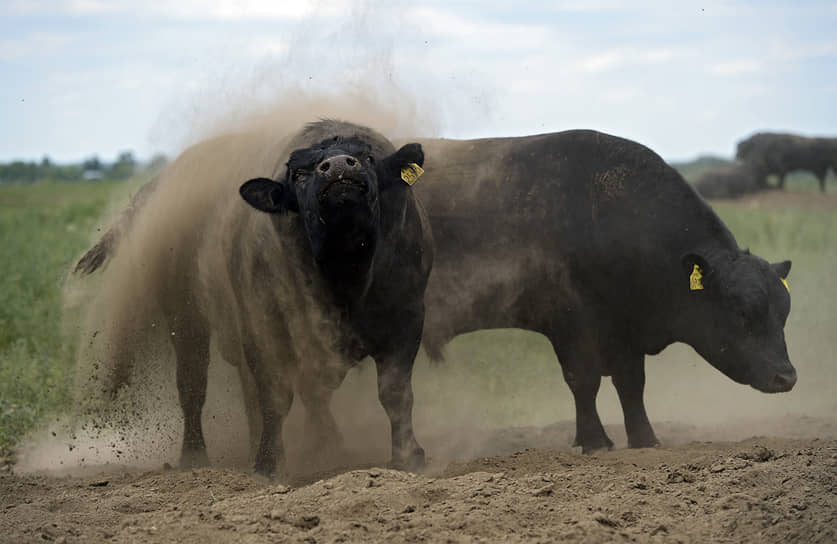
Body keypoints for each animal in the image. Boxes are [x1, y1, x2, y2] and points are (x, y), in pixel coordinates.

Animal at [76, 120, 438, 476]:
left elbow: (394, 391)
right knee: (193, 384)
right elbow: (275, 394)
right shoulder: (264, 325)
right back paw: (195, 454)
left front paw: (408, 455)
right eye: (299, 173)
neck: (344, 270)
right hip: (186, 317)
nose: (337, 167)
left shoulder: (407, 319)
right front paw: (270, 461)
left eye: (367, 158)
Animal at [412, 130, 796, 452]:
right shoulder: (570, 324)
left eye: (784, 313)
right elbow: (584, 380)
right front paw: (595, 440)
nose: (786, 376)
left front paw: (644, 438)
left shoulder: (624, 329)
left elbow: (631, 384)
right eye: (742, 311)